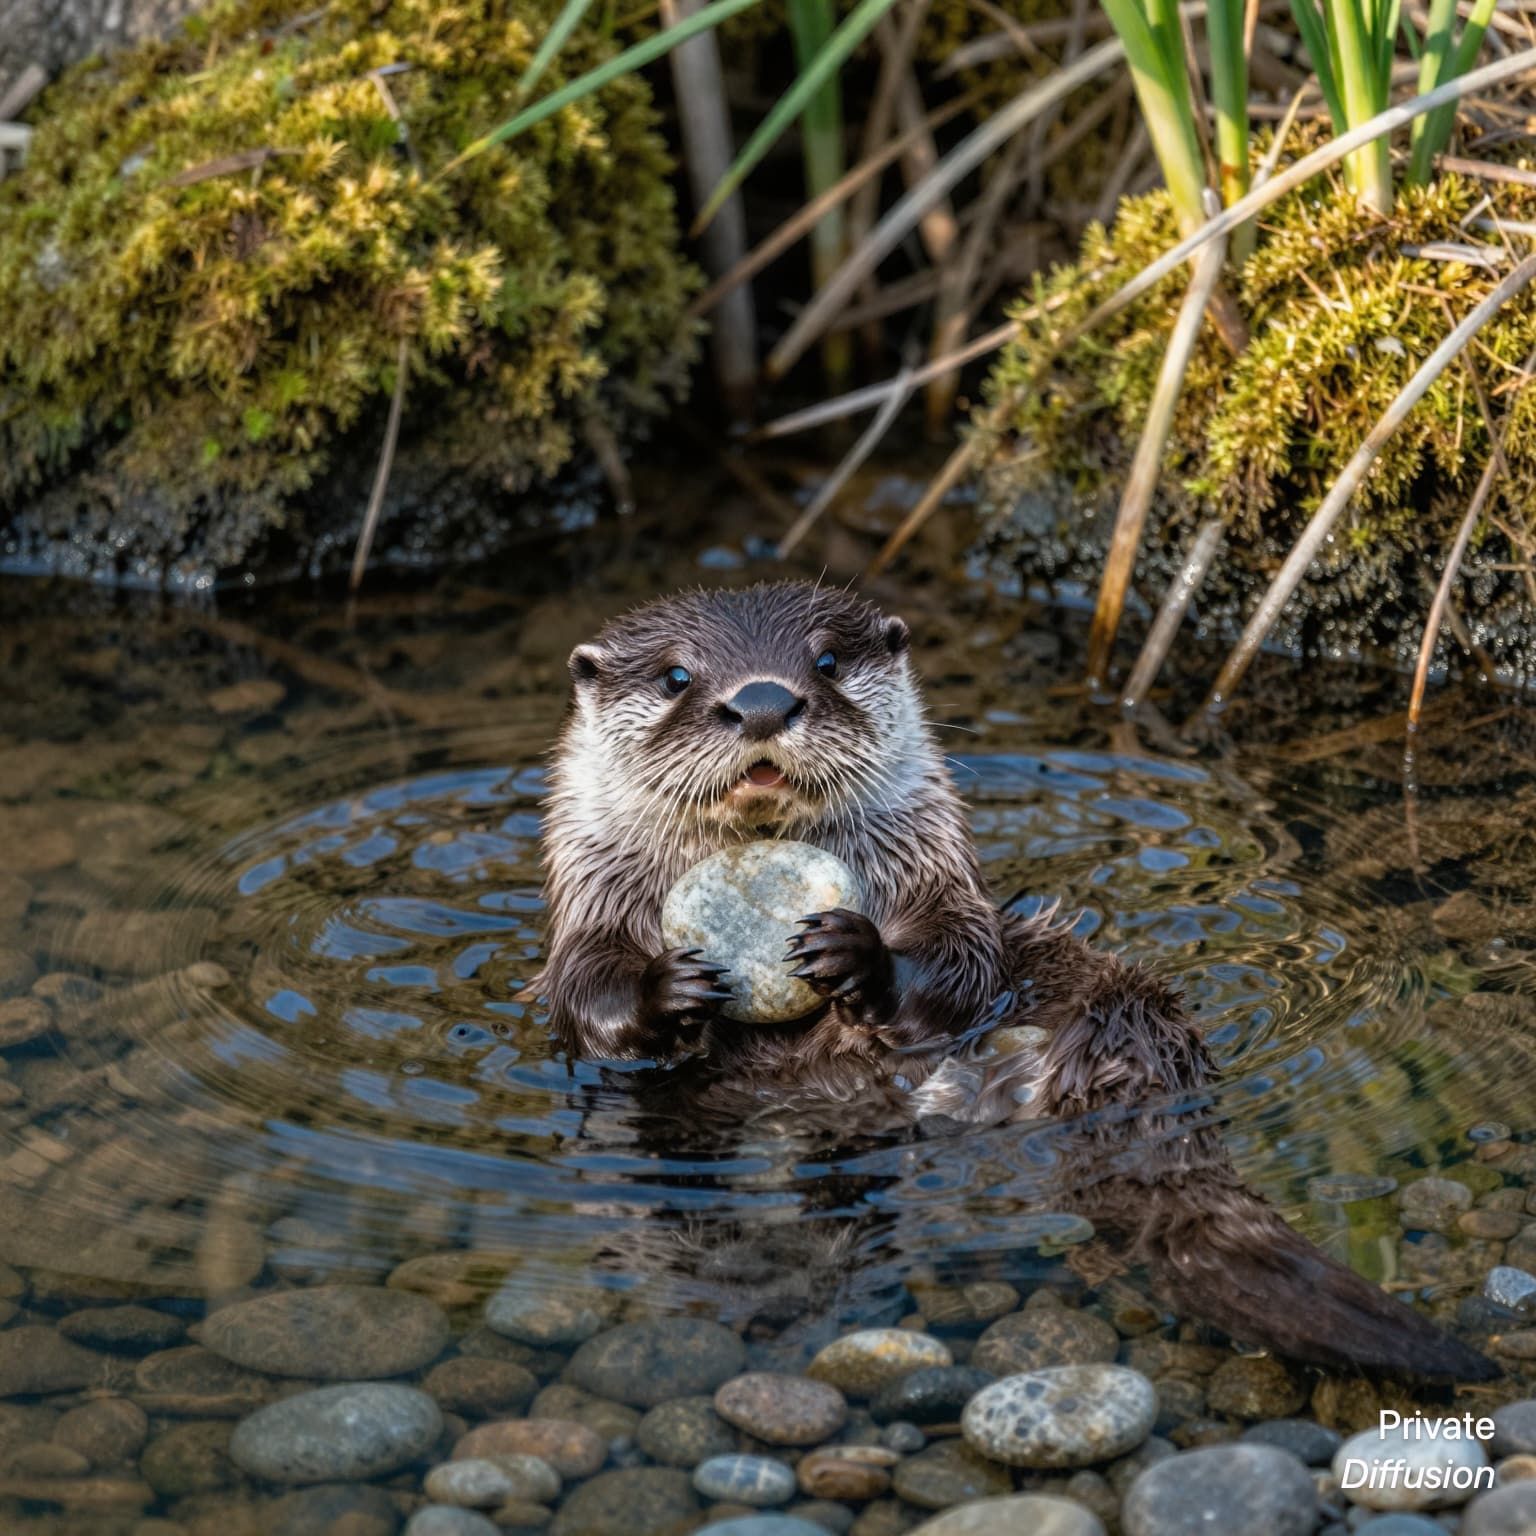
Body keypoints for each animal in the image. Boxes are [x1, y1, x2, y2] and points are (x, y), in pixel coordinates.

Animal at [529, 581, 1497, 1380]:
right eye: (676, 675)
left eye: (827, 661)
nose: (763, 700)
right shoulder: (588, 910)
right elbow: (586, 1003)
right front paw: (668, 992)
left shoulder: (941, 880)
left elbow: (963, 959)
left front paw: (859, 957)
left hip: (1104, 991)